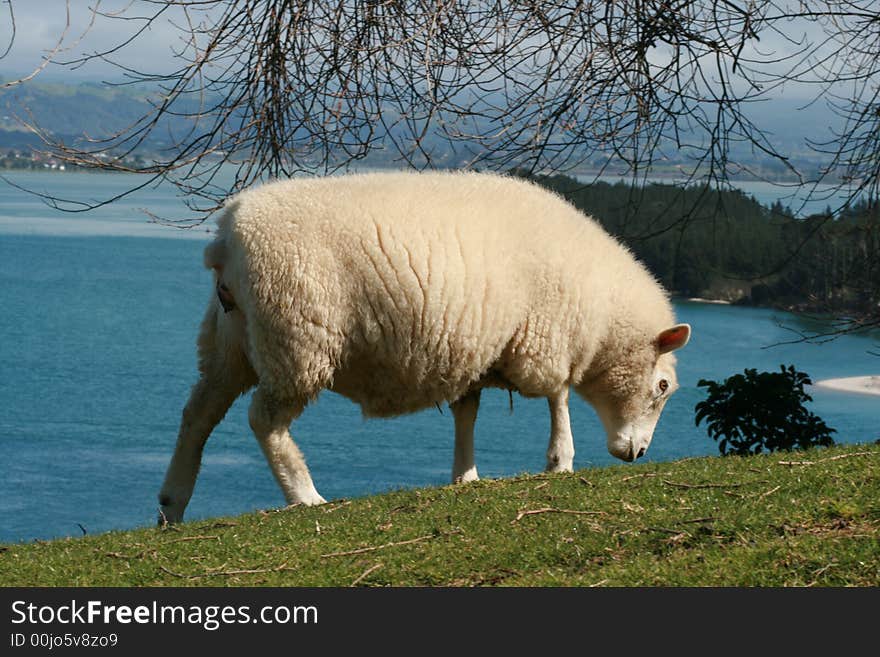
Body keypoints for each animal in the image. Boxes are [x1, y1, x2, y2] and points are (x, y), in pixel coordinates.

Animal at [162, 170, 692, 524]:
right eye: (662, 386)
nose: (637, 453)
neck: (602, 317)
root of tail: (227, 236)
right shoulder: (545, 338)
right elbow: (558, 396)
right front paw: (560, 460)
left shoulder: (476, 349)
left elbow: (467, 412)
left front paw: (466, 475)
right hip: (298, 337)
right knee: (264, 420)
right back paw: (304, 495)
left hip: (231, 342)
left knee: (198, 414)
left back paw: (173, 503)